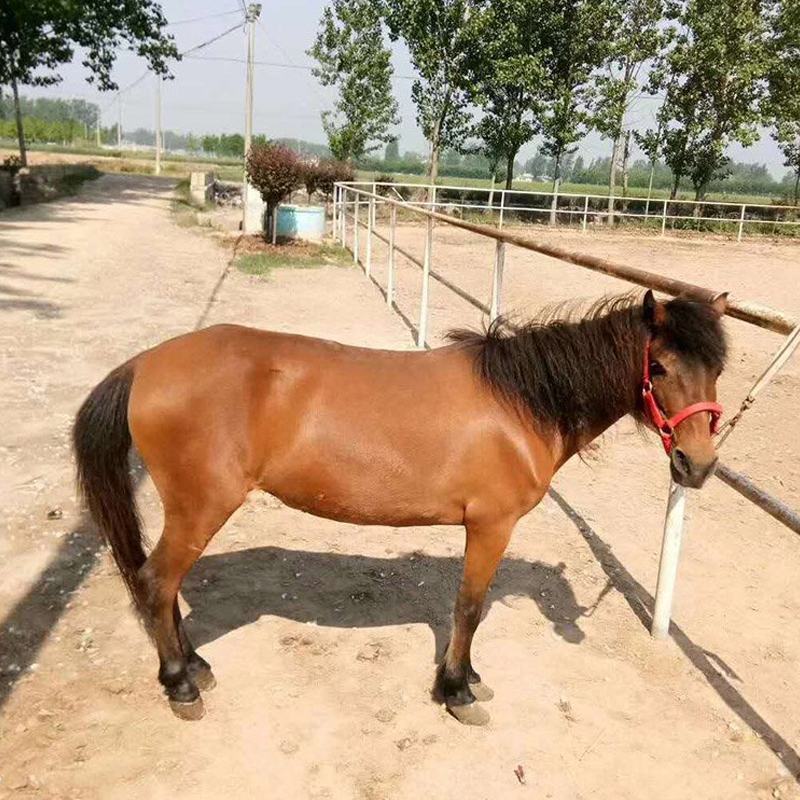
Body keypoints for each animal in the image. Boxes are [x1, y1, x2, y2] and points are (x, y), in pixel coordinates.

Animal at [73, 290, 728, 724]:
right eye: (659, 367)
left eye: (718, 368)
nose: (697, 465)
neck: (522, 403)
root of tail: (144, 365)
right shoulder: (491, 526)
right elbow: (469, 607)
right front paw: (457, 690)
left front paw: (467, 678)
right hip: (200, 508)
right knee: (156, 583)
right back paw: (181, 686)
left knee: (164, 588)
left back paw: (196, 666)